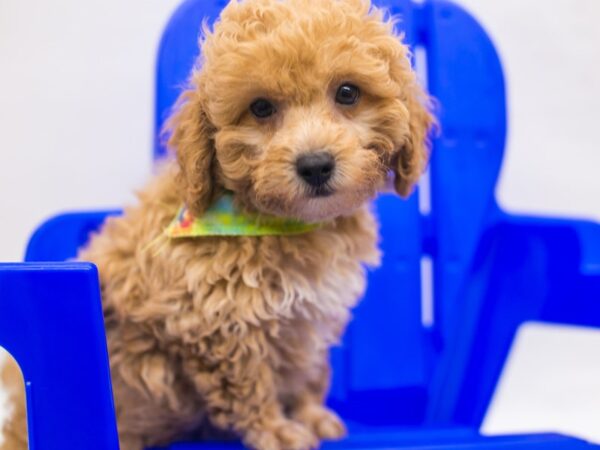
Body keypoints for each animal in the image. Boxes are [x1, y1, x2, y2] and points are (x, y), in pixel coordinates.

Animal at [0, 0, 434, 450]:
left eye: (348, 93)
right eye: (260, 108)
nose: (315, 165)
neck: (283, 223)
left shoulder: (308, 319)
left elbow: (306, 369)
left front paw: (309, 414)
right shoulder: (219, 324)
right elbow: (250, 385)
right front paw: (276, 431)